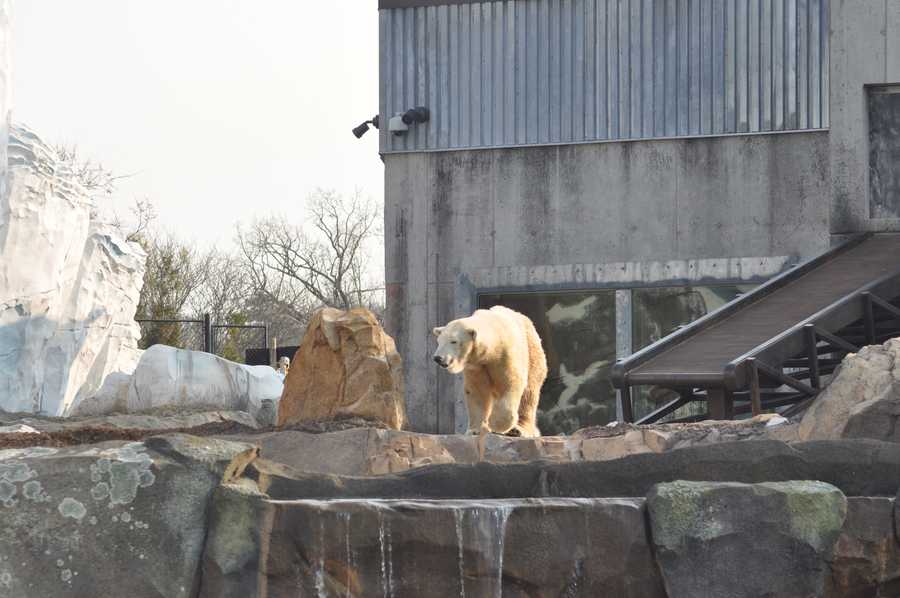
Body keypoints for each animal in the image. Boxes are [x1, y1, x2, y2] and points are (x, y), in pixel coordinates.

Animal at [430, 308, 548, 438]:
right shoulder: (477, 366)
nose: (438, 358)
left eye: (453, 341)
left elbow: (511, 383)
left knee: (529, 392)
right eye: (439, 341)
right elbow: (477, 391)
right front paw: (475, 430)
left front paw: (496, 424)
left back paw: (518, 429)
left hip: (532, 352)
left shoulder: (505, 354)